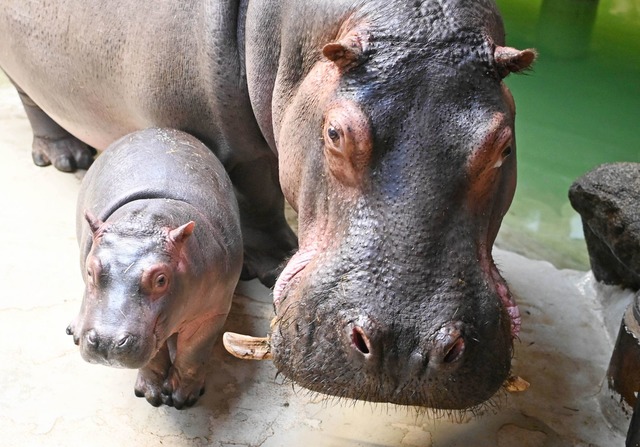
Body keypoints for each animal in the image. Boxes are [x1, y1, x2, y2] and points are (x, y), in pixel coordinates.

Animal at [67, 129, 242, 410]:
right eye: (92, 270)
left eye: (161, 279)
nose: (106, 342)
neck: (148, 219)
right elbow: (154, 357)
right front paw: (151, 394)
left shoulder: (213, 312)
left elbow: (193, 354)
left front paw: (182, 398)